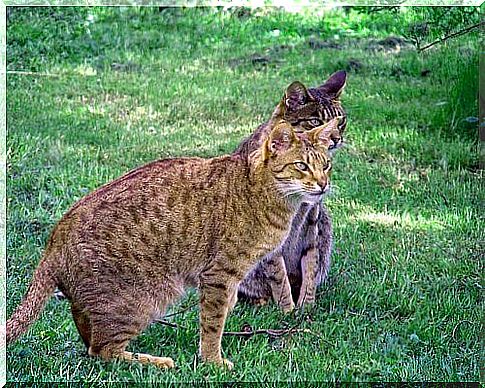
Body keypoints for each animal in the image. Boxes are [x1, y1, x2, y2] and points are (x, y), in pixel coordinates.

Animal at [5, 108, 338, 366]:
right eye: (301, 166)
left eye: (326, 165)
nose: (322, 184)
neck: (260, 188)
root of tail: (53, 242)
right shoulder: (219, 274)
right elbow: (213, 323)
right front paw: (213, 362)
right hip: (140, 302)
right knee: (102, 351)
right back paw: (155, 361)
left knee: (90, 340)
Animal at [236, 70, 346, 310]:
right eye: (315, 121)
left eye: (340, 122)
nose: (335, 138)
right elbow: (278, 275)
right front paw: (287, 309)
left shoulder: (312, 221)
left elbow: (311, 266)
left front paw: (307, 304)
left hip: (325, 221)